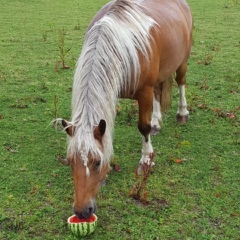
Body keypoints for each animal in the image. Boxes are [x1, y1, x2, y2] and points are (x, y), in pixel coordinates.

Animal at [61, 0, 192, 219]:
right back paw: (157, 122)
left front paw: (146, 160)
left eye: (97, 162)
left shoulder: (144, 92)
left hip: (182, 61)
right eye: (70, 161)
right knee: (159, 91)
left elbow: (142, 127)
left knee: (181, 82)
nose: (82, 211)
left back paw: (182, 113)